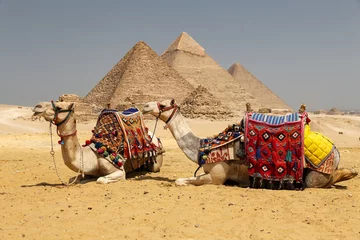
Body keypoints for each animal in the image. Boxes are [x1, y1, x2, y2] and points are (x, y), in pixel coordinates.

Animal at [33, 100, 163, 185]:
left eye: (59, 107)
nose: (37, 106)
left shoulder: (120, 172)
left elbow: (100, 179)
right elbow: (74, 179)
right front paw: (86, 178)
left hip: (156, 161)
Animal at [141, 99, 358, 188]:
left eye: (162, 104)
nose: (144, 106)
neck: (204, 146)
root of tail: (336, 151)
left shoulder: (217, 176)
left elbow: (181, 181)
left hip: (314, 176)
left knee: (327, 179)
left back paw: (350, 173)